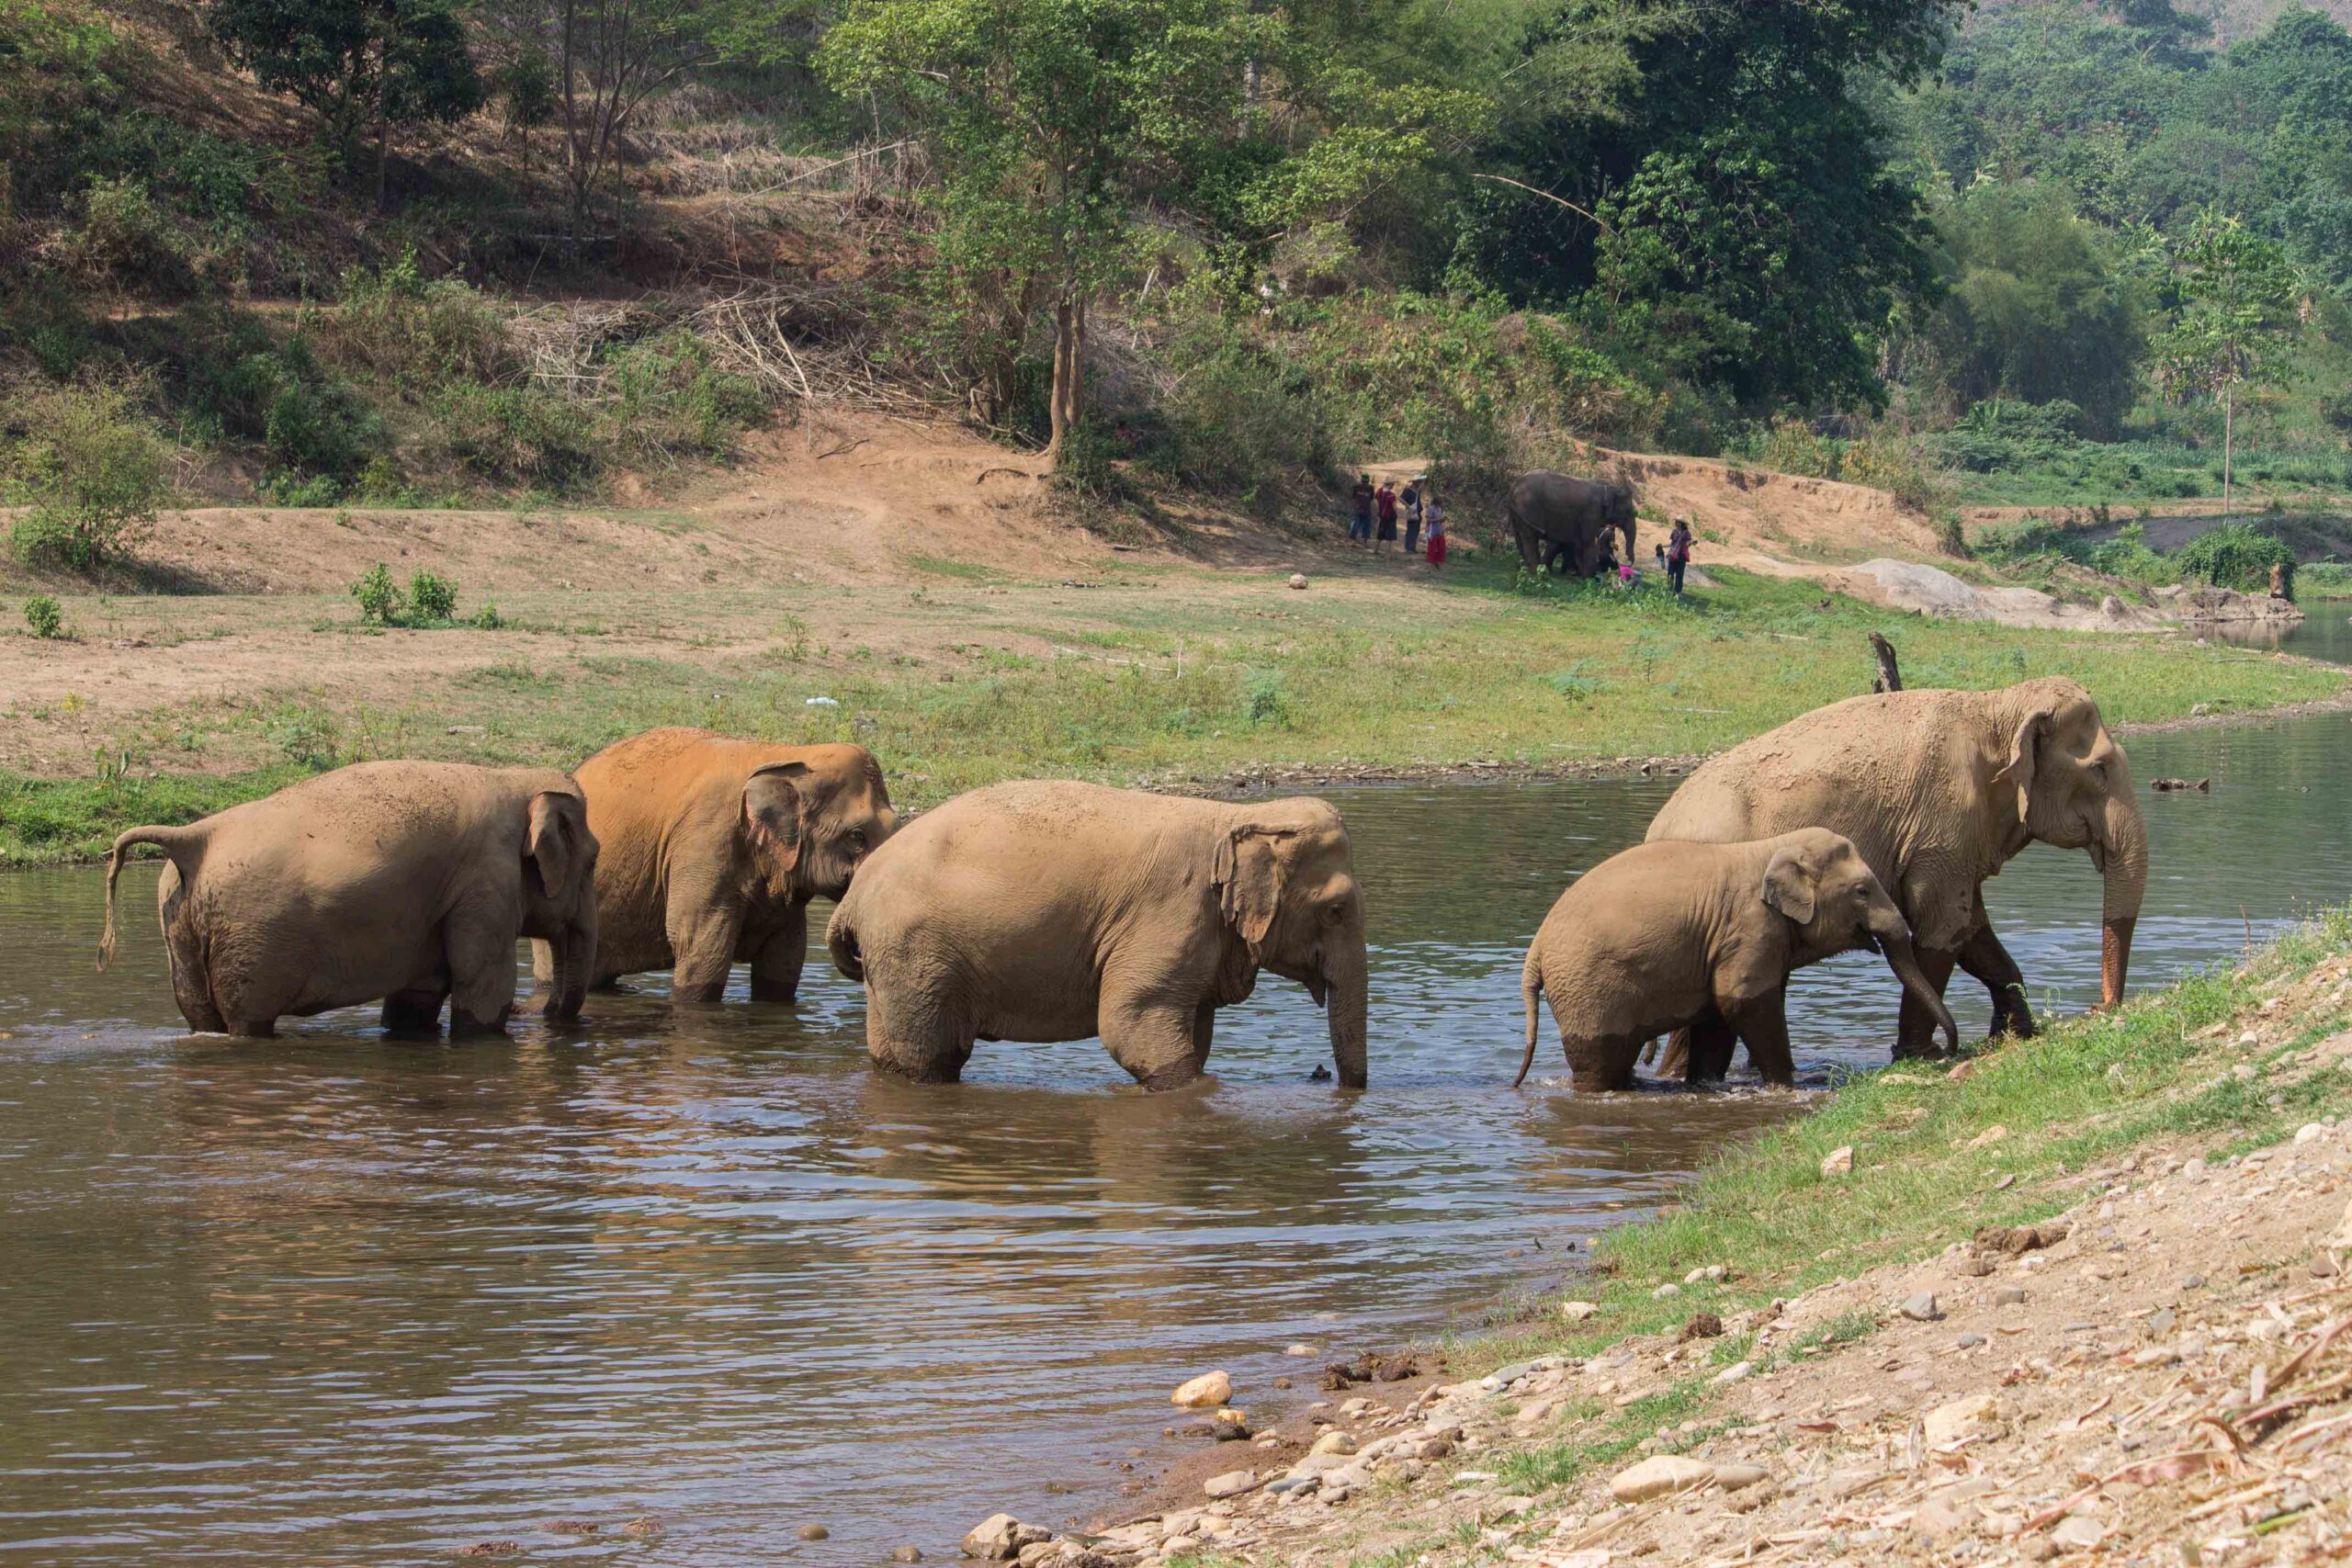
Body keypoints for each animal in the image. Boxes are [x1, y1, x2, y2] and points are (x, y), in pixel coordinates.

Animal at [97, 761, 599, 1037]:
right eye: (593, 860)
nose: (539, 1015)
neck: (516, 778)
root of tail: (195, 838)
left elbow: (420, 991)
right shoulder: (486, 882)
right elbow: (482, 982)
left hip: (179, 925)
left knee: (201, 1016)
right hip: (252, 942)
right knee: (247, 1022)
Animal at [825, 781, 1368, 1089]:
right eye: (1336, 911)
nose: (1328, 1080)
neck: (1233, 818)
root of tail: (854, 896)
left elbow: (1193, 1029)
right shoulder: (1170, 911)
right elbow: (1131, 1024)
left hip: (896, 962)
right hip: (914, 955)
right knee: (929, 1058)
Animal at [1506, 470, 1638, 578]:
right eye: (1627, 511)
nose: (1627, 561)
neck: (1610, 487)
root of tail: (1514, 485)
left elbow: (1580, 542)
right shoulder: (1591, 513)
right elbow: (1588, 541)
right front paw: (1589, 578)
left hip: (1518, 512)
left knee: (1520, 537)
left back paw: (1526, 569)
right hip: (1528, 507)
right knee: (1530, 538)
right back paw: (1537, 574)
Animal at [1515, 829, 1959, 1091]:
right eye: (1863, 891)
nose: (1947, 1052)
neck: (1774, 847)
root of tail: (1536, 952)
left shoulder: (1724, 940)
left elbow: (1717, 1015)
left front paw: (1707, 1086)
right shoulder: (1749, 927)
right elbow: (1741, 1000)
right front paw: (1787, 1087)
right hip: (1587, 989)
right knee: (1600, 1061)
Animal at [1644, 676, 2149, 1063]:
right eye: (2101, 769)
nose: (2100, 1008)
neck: (1996, 706)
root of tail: (1654, 829)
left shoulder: (1954, 839)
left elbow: (1973, 931)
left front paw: (2014, 1034)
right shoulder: (1941, 822)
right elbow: (1943, 928)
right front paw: (1922, 1056)